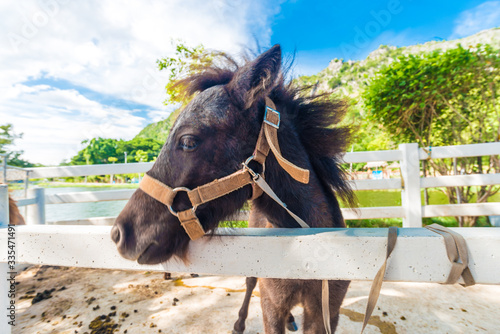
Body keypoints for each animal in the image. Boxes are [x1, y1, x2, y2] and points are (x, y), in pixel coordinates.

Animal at [112, 45, 356, 334]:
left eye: (188, 141)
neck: (310, 254)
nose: (119, 234)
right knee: (250, 283)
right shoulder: (271, 307)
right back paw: (240, 323)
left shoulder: (326, 314)